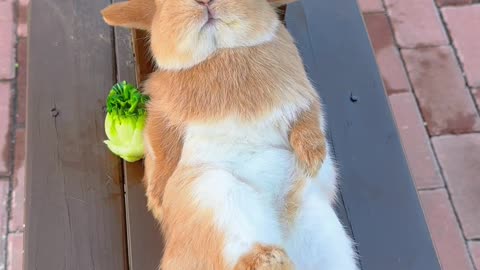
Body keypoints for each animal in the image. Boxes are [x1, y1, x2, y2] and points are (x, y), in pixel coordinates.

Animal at [101, 0, 356, 268]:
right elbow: (161, 152)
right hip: (211, 194)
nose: (205, 2)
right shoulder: (163, 115)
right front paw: (157, 201)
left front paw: (312, 161)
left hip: (318, 225)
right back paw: (271, 260)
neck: (222, 51)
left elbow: (309, 122)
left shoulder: (301, 96)